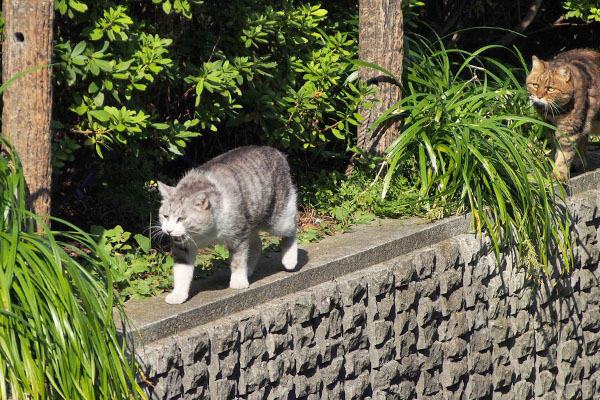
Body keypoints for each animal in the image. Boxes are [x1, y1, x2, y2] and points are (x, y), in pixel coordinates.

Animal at [157, 145, 298, 304]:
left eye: (181, 219)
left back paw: (290, 260)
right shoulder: (182, 247)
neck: (203, 234)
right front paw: (178, 294)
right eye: (165, 216)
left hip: (278, 219)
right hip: (250, 221)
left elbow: (238, 260)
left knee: (292, 229)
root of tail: (276, 151)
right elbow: (181, 271)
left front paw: (238, 281)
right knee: (257, 244)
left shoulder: (238, 235)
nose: (168, 230)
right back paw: (249, 270)